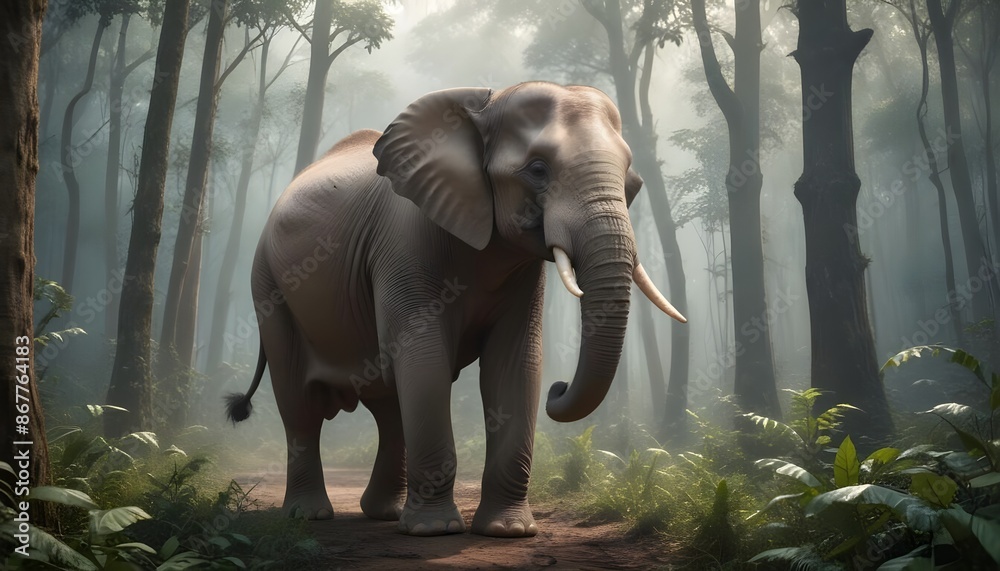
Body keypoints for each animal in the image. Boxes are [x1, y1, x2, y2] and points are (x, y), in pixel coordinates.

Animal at [225, 81, 685, 538]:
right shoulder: (404, 243)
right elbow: (424, 357)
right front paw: (437, 531)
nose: (559, 389)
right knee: (299, 403)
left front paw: (506, 531)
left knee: (388, 404)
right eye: (538, 169)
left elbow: (514, 362)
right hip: (268, 285)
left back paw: (385, 513)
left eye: (630, 179)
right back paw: (310, 516)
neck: (484, 104)